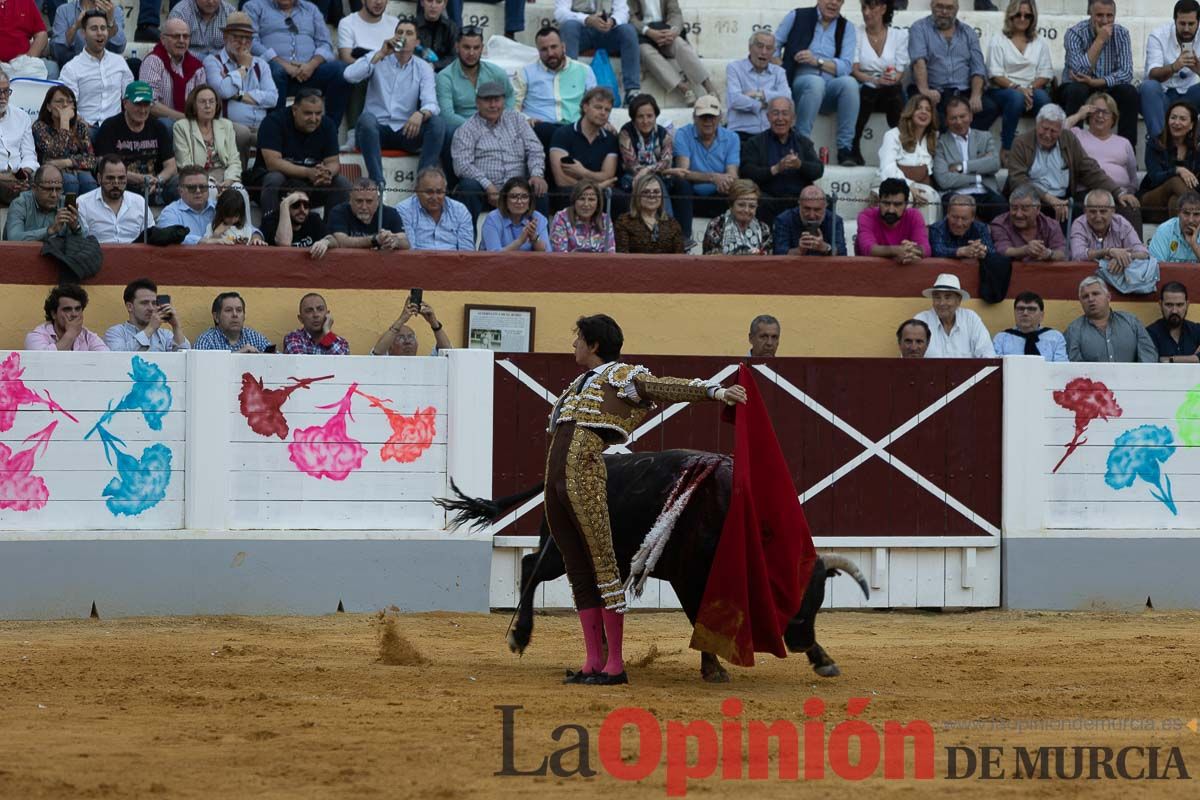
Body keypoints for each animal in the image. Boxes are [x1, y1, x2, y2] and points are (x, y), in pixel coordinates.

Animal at [436, 450, 868, 681]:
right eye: (780, 590)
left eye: (817, 597)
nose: (799, 641)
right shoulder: (686, 577)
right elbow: (699, 618)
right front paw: (713, 669)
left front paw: (824, 660)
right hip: (562, 551)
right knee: (529, 568)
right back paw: (521, 636)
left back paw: (604, 649)